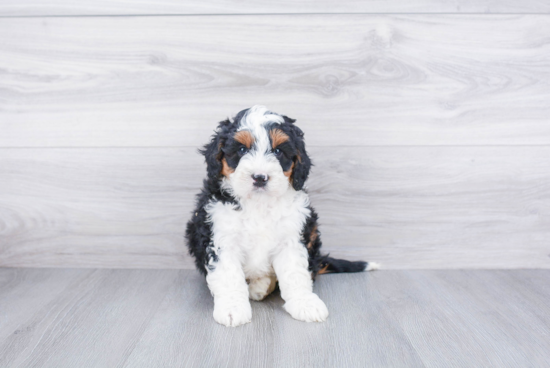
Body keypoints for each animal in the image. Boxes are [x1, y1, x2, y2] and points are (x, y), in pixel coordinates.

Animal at [187, 105, 380, 326]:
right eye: (242, 150)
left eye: (278, 151)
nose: (260, 177)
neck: (259, 203)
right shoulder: (220, 238)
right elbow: (228, 276)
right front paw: (232, 309)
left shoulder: (292, 238)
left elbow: (295, 273)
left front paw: (305, 303)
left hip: (312, 234)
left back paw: (260, 286)